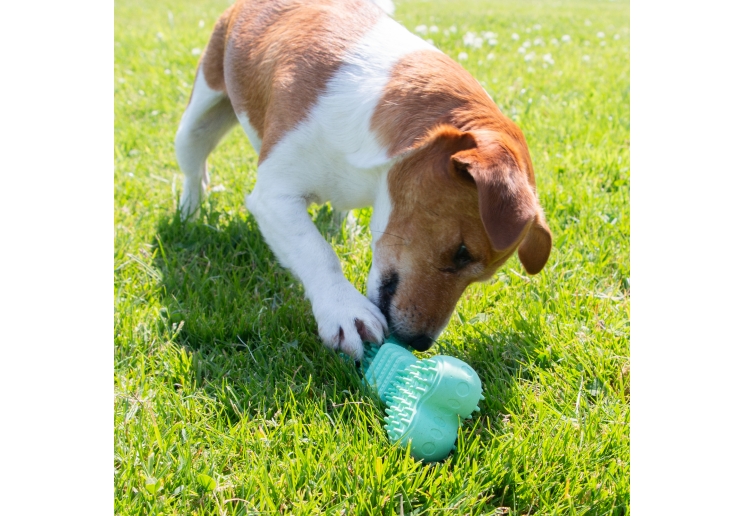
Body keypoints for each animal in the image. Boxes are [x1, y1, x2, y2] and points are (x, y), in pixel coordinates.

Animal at [176, 0, 552, 358]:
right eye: (462, 252)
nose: (419, 343)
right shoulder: (273, 197)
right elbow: (317, 251)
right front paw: (344, 309)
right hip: (197, 119)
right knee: (194, 171)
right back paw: (189, 214)